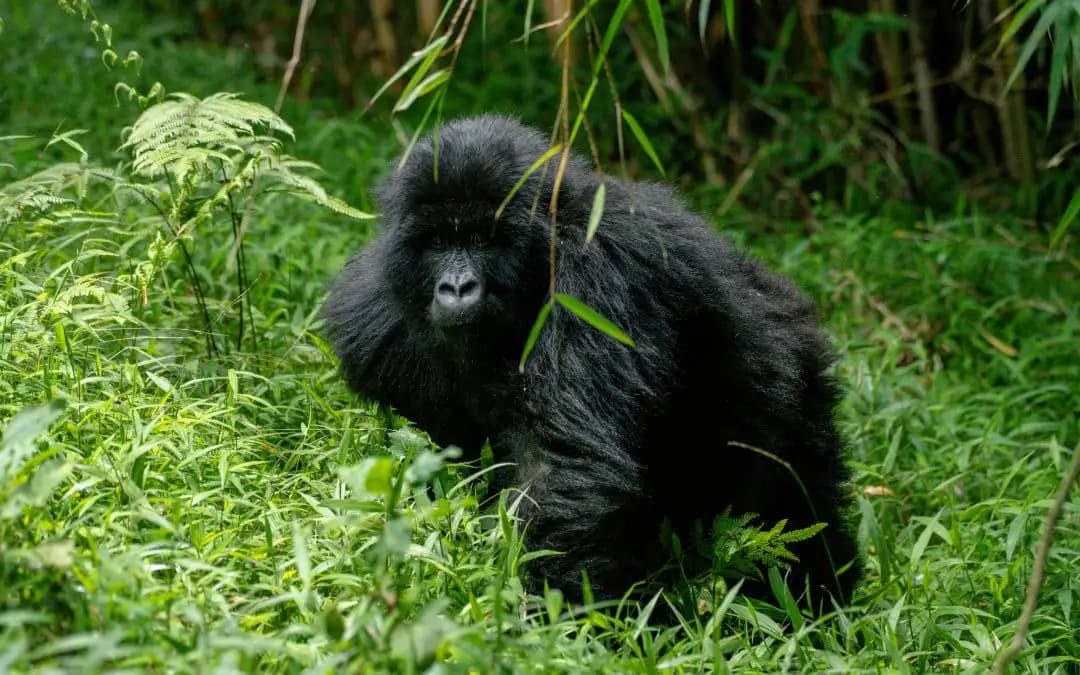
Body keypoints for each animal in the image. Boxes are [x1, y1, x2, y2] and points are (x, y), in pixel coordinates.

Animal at [319, 115, 859, 604]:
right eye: (436, 242)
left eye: (483, 239)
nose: (456, 287)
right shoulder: (372, 319)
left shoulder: (602, 273)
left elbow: (567, 467)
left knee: (792, 504)